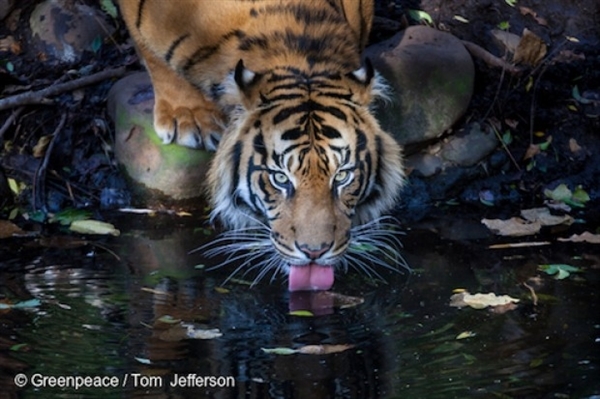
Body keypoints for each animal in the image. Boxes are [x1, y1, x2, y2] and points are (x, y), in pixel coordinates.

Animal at [116, 0, 408, 290]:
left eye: (342, 176)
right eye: (280, 178)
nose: (314, 252)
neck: (300, 53)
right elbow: (152, 55)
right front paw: (186, 115)